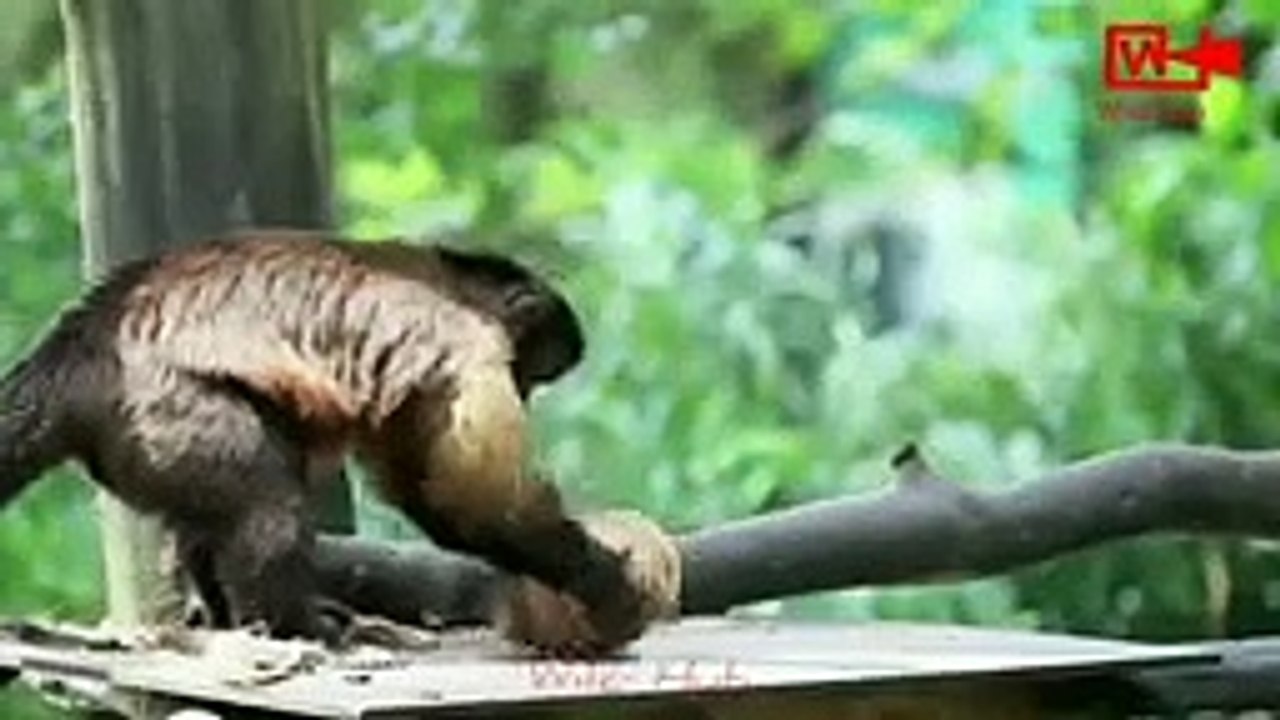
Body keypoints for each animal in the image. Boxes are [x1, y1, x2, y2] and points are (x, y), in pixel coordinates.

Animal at [0, 228, 647, 655]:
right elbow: (475, 502)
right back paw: (296, 625)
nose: (526, 394)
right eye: (528, 375)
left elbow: (429, 493)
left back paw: (226, 613)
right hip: (166, 405)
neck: (456, 283)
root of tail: (77, 346)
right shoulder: (466, 343)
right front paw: (600, 579)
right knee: (267, 505)